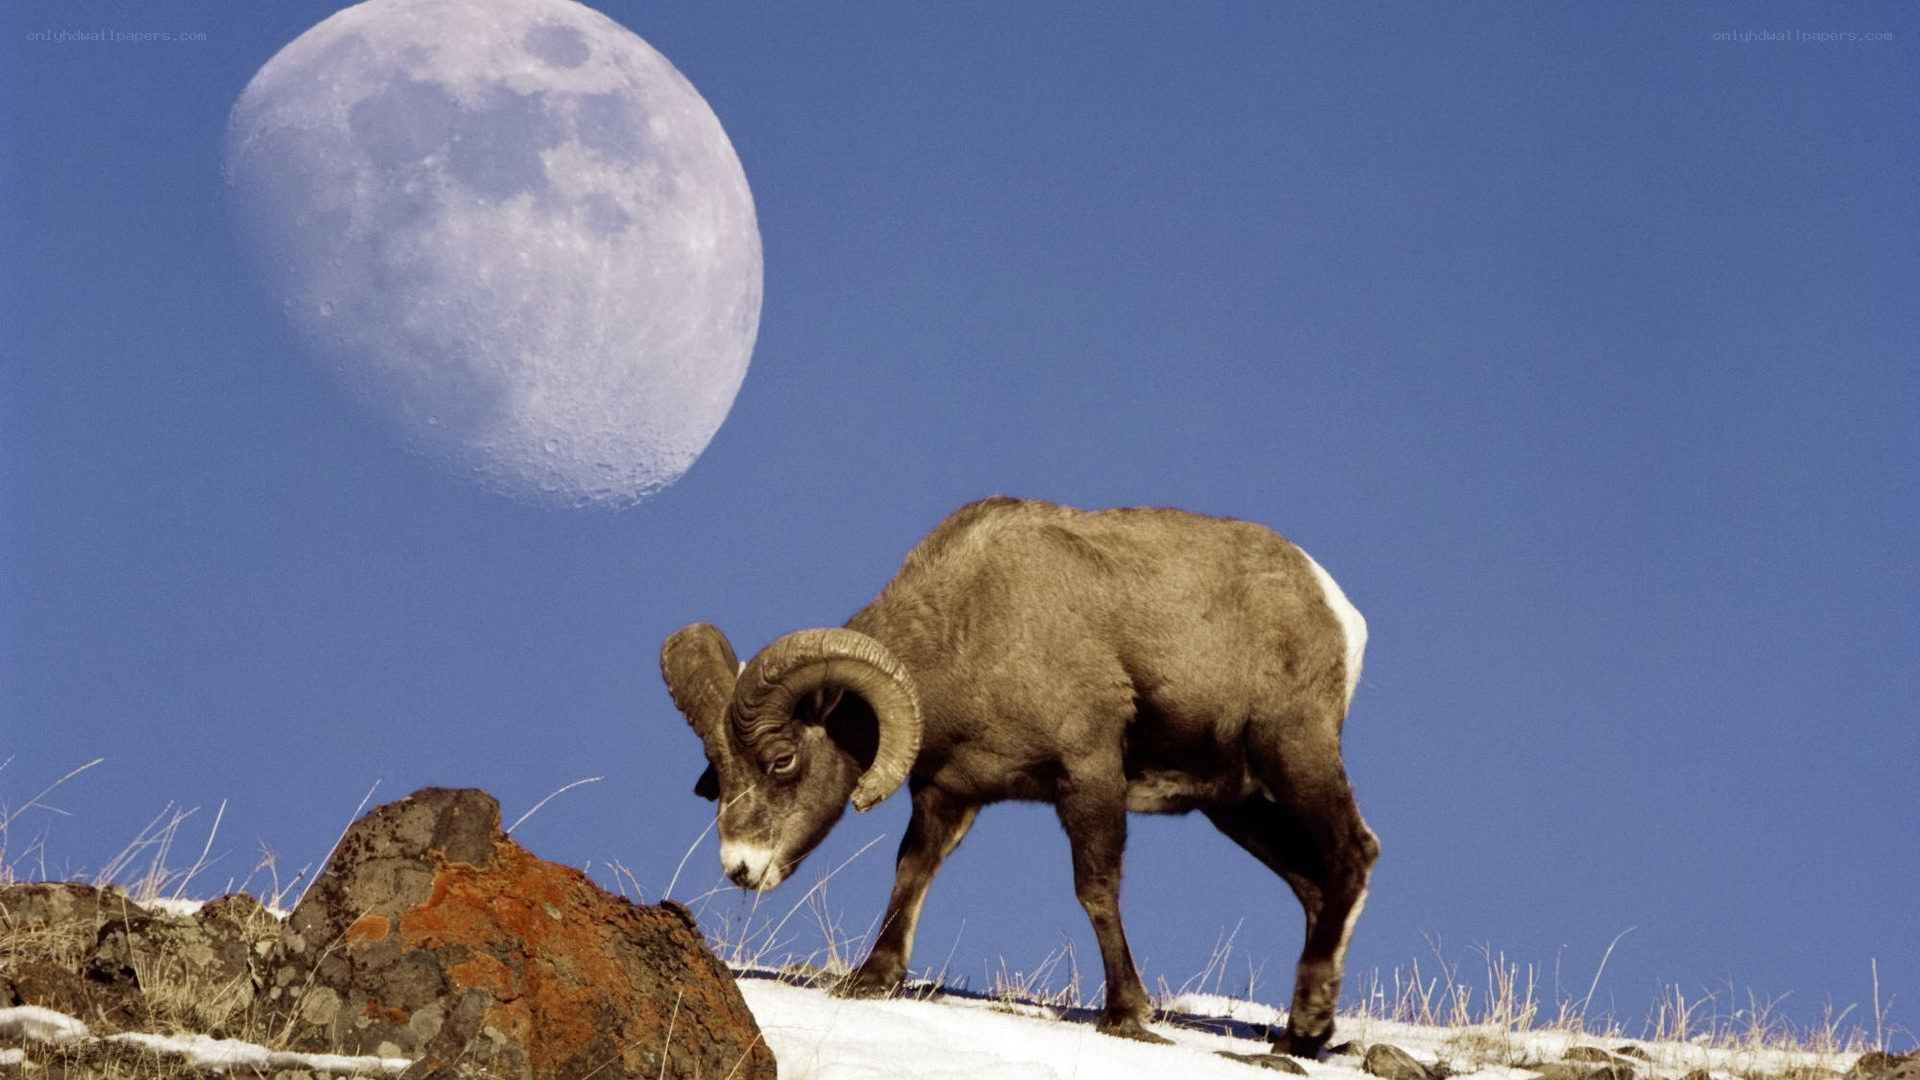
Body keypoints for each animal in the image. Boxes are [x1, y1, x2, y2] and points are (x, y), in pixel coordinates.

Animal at [659, 496, 1379, 1055]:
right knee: (1314, 885)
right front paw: (873, 979)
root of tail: (1336, 608)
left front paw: (1126, 1014)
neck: (972, 626)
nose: (741, 868)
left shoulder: (1088, 775)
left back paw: (1304, 1029)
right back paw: (1307, 1032)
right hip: (1237, 805)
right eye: (719, 772)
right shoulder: (947, 794)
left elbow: (1095, 890)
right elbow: (912, 873)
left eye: (782, 760)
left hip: (1295, 754)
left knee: (1353, 853)